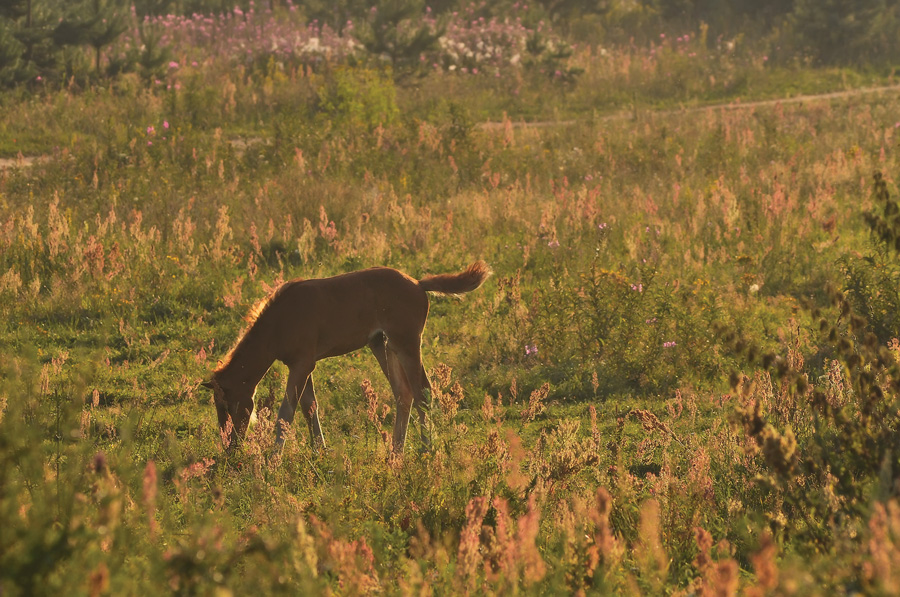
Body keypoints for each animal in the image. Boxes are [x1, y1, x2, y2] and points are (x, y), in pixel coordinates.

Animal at [202, 260, 492, 452]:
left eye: (228, 405)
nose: (230, 447)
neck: (280, 320)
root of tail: (418, 284)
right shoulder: (302, 365)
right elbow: (309, 407)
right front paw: (319, 453)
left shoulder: (302, 364)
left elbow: (286, 413)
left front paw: (273, 460)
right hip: (383, 345)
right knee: (404, 393)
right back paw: (396, 453)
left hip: (407, 344)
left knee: (423, 393)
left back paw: (426, 451)